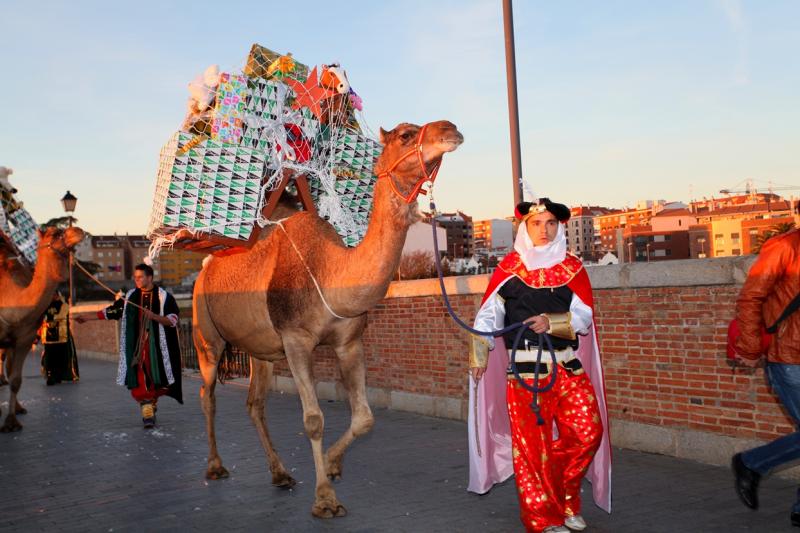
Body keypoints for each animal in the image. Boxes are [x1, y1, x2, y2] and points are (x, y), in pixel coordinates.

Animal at [0, 227, 84, 430]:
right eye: (55, 234)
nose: (78, 230)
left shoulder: (24, 339)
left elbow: (16, 380)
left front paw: (11, 422)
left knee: (9, 368)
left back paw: (19, 408)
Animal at [193, 120, 462, 516]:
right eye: (405, 136)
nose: (450, 129)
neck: (330, 271)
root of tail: (205, 267)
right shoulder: (296, 340)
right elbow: (313, 420)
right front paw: (325, 499)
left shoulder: (348, 342)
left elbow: (364, 418)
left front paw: (333, 466)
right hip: (207, 335)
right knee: (207, 393)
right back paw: (215, 466)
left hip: (261, 350)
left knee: (255, 403)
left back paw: (280, 473)